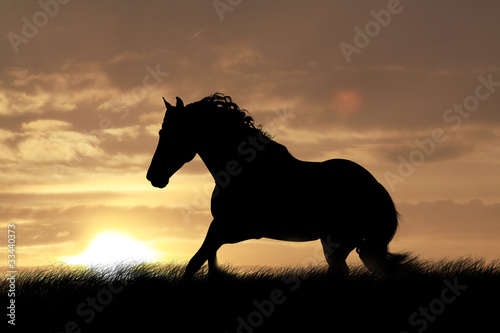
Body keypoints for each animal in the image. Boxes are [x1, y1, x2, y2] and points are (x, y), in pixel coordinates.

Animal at [147, 92, 406, 276]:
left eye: (167, 133)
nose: (153, 176)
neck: (243, 168)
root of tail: (377, 188)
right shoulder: (224, 229)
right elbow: (208, 263)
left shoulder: (230, 228)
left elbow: (195, 262)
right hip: (338, 242)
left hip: (340, 241)